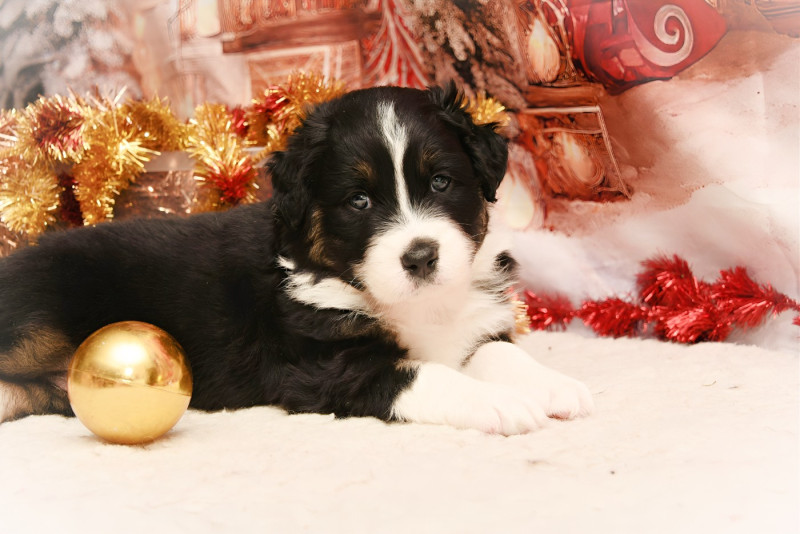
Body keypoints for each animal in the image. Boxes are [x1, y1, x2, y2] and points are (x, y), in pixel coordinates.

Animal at [0, 84, 592, 435]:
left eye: (442, 182)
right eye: (359, 200)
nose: (421, 257)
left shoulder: (473, 319)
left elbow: (499, 353)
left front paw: (557, 386)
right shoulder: (323, 365)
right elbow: (422, 375)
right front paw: (499, 405)